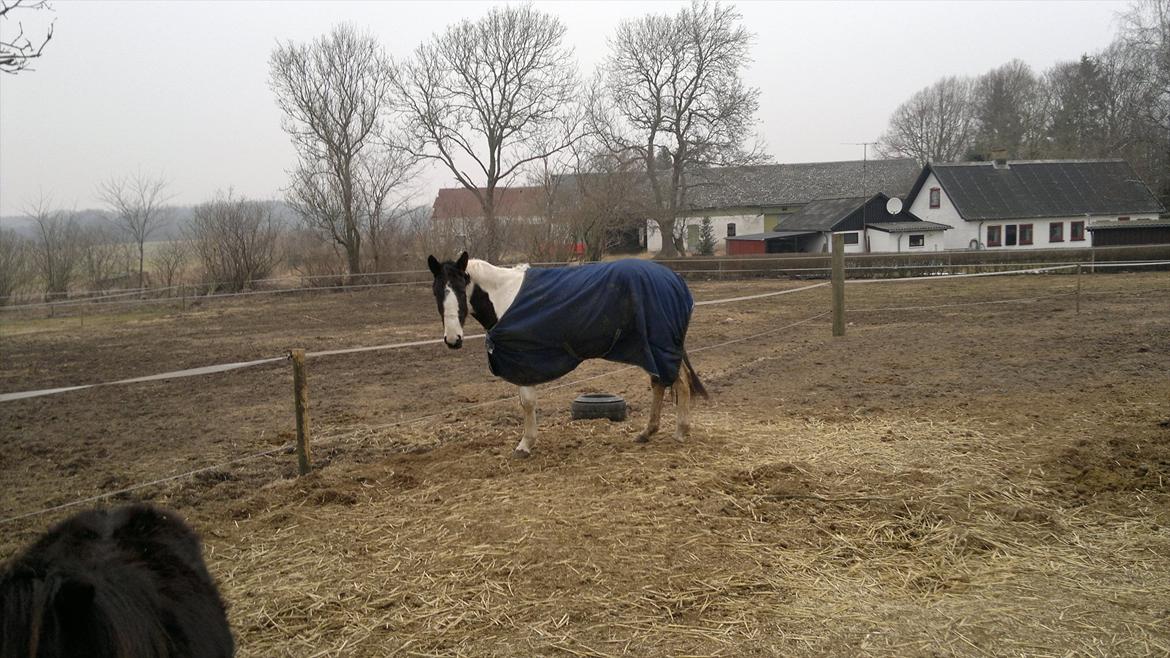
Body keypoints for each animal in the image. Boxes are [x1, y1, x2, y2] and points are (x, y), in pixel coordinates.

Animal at [428, 250, 706, 456]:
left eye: (461, 288)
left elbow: (527, 402)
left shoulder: (523, 360)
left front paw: (525, 445)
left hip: (660, 346)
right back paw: (647, 432)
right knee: (659, 382)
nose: (453, 339)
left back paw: (680, 432)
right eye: (436, 291)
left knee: (679, 382)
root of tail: (675, 281)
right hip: (650, 348)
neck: (504, 295)